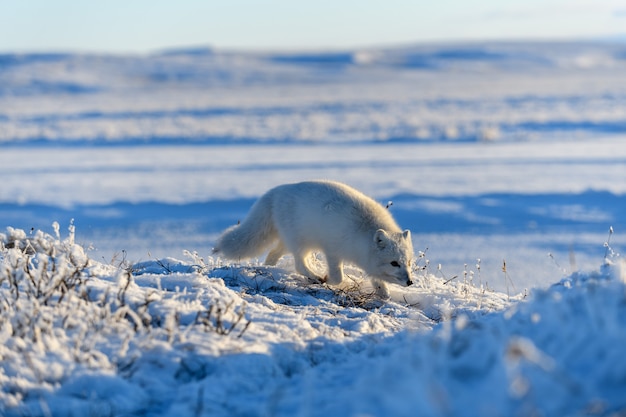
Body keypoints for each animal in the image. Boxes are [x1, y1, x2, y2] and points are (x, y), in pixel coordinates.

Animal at [212, 179, 412, 292]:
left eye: (408, 263)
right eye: (394, 263)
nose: (410, 281)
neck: (362, 230)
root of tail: (275, 192)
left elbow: (377, 281)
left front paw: (382, 292)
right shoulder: (332, 250)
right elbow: (338, 277)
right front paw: (328, 279)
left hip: (290, 242)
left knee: (273, 254)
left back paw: (269, 270)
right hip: (300, 243)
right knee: (299, 265)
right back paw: (314, 277)